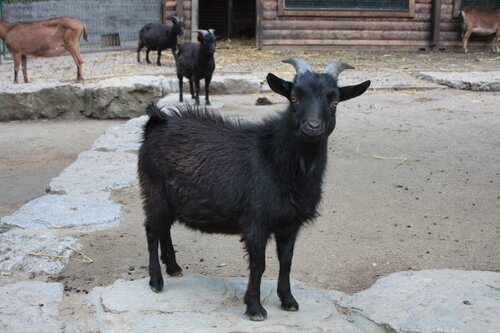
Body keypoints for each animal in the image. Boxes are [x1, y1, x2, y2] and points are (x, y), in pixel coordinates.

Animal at [138, 56, 372, 320]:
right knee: (151, 230)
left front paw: (288, 300)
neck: (276, 161)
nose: (312, 126)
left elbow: (286, 261)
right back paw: (156, 281)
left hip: (171, 199)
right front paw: (255, 307)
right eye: (294, 97)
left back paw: (174, 267)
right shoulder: (255, 221)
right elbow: (259, 264)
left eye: (334, 101)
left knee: (164, 228)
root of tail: (157, 122)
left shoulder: (289, 224)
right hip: (153, 190)